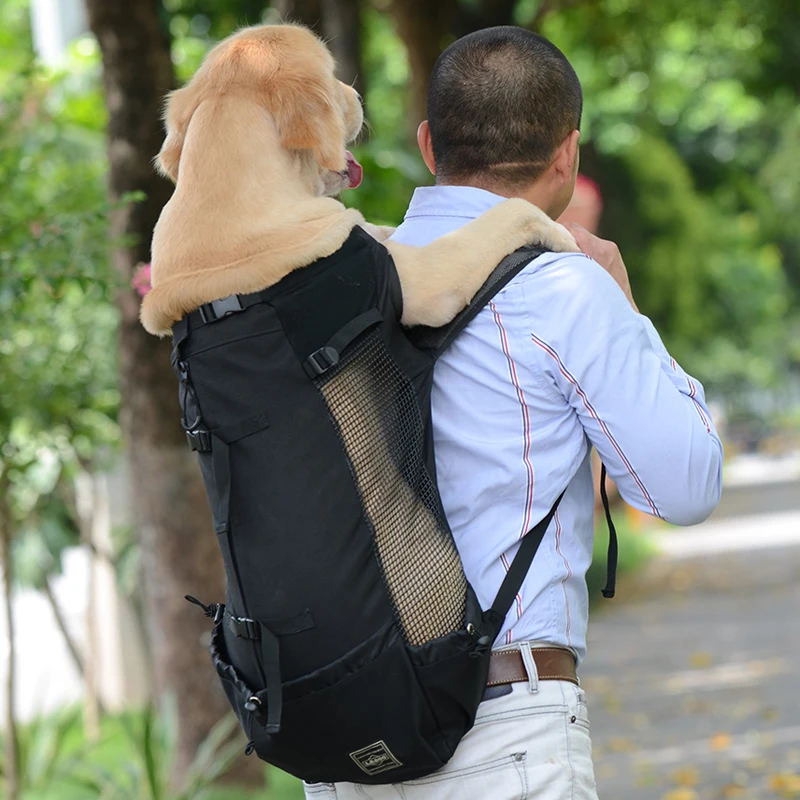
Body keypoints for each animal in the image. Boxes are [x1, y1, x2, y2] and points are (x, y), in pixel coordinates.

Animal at [138, 21, 576, 334]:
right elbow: (509, 213)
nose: (357, 95)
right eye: (332, 75)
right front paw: (562, 233)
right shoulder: (425, 282)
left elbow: (381, 228)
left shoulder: (357, 228)